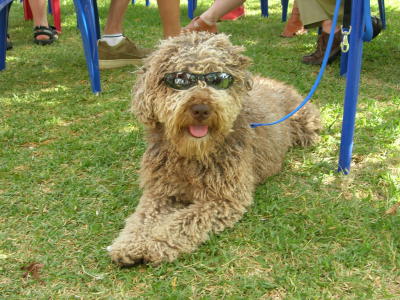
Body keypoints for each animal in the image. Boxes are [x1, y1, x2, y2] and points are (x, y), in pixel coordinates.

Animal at [108, 32, 320, 268]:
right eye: (180, 80)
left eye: (218, 79)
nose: (201, 109)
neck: (192, 155)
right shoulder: (159, 192)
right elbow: (142, 218)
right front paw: (129, 244)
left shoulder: (223, 199)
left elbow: (183, 221)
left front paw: (155, 244)